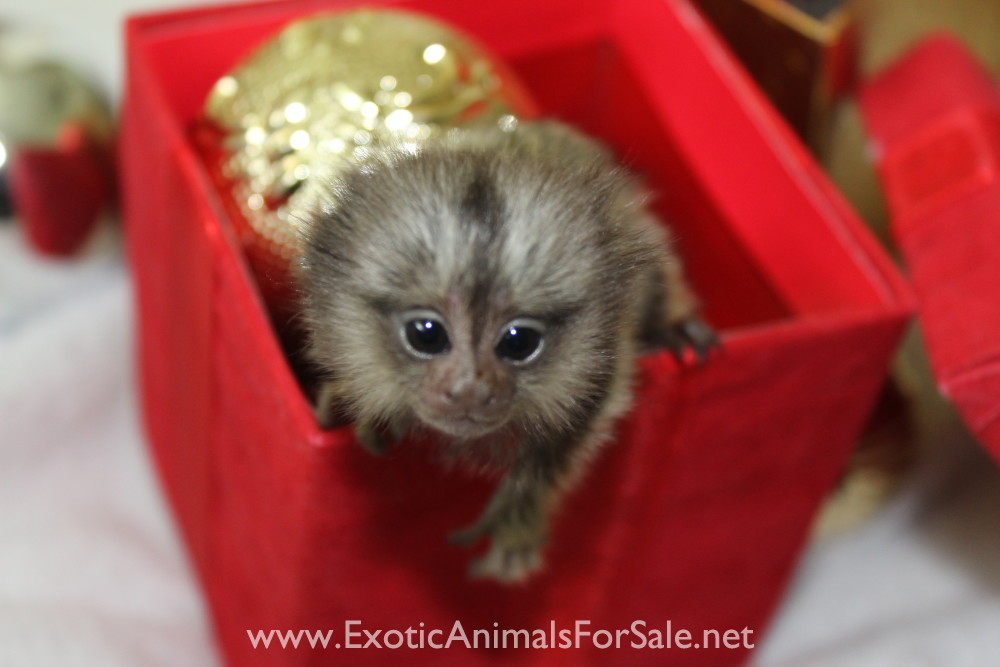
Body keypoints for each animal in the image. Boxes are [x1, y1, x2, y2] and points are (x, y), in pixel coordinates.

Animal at [297, 120, 716, 583]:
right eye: (426, 335)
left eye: (518, 342)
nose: (470, 389)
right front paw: (355, 405)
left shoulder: (602, 356)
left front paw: (516, 523)